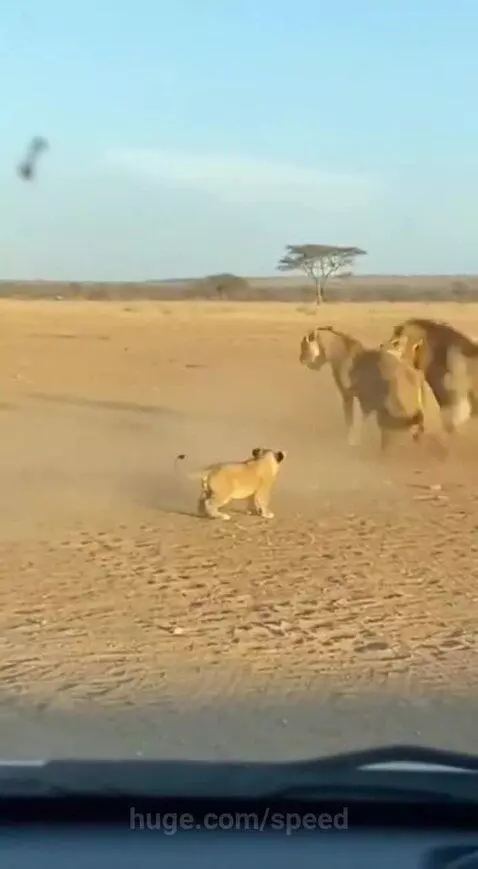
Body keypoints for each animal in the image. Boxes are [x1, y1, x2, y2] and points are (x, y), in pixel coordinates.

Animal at [299, 325, 448, 455]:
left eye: (304, 347)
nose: (301, 360)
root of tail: (417, 375)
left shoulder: (348, 394)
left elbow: (350, 418)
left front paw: (351, 440)